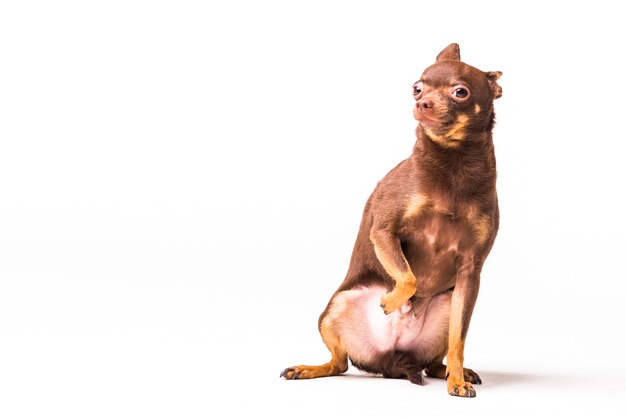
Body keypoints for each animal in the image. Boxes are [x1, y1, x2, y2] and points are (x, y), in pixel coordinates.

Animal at [280, 44, 500, 398]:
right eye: (417, 88)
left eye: (460, 92)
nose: (422, 103)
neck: (453, 164)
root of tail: (390, 360)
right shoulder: (383, 230)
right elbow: (409, 278)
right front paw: (393, 300)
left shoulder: (471, 270)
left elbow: (459, 340)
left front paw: (456, 381)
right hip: (337, 306)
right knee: (339, 363)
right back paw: (311, 368)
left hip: (447, 302)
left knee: (436, 359)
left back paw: (452, 372)